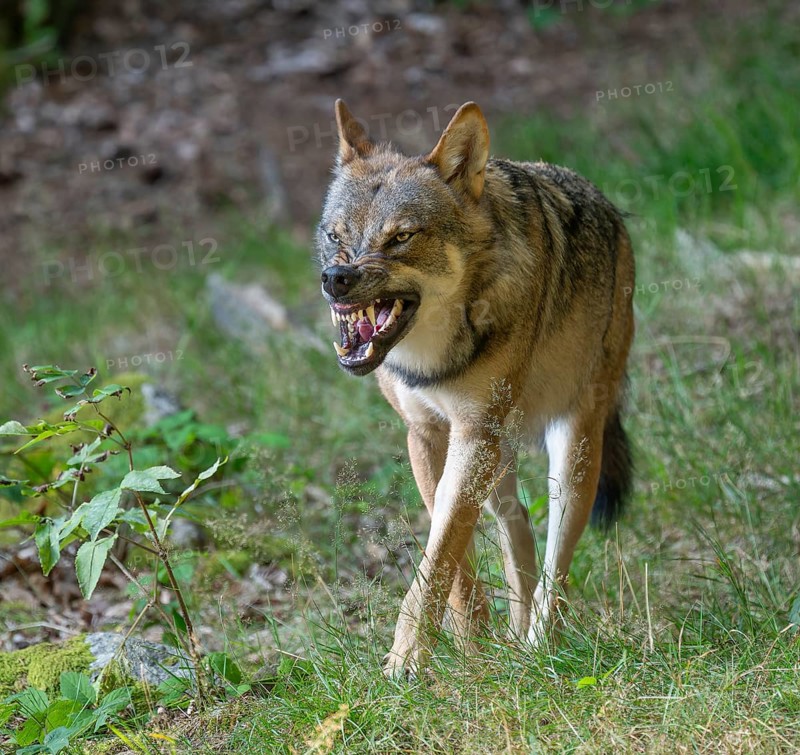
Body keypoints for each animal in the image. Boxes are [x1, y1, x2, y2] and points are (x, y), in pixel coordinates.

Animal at [316, 100, 635, 677]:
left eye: (400, 237)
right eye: (335, 236)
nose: (336, 278)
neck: (435, 357)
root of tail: (612, 212)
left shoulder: (473, 435)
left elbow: (438, 555)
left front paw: (404, 661)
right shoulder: (427, 435)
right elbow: (451, 557)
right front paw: (470, 647)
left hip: (573, 453)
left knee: (556, 562)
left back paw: (539, 648)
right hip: (500, 463)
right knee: (519, 533)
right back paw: (512, 642)